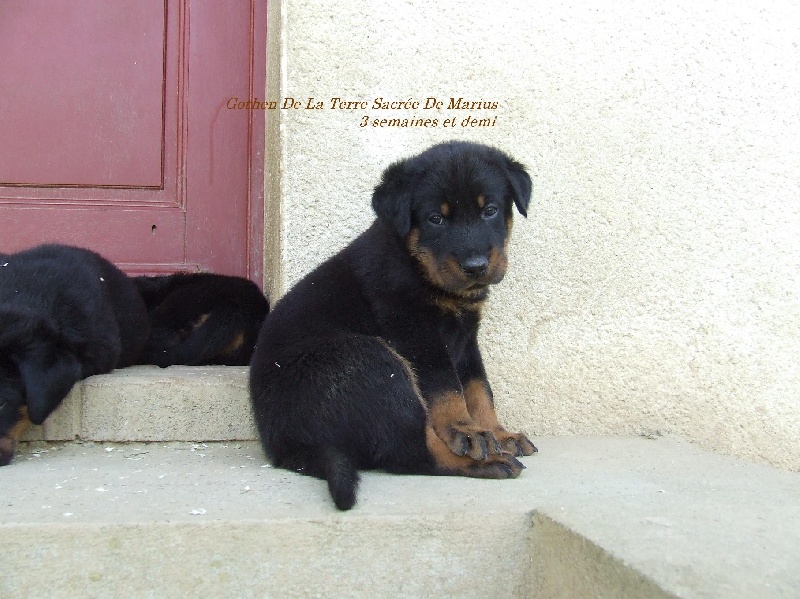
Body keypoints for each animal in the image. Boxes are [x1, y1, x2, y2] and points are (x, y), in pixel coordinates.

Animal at [250, 142, 536, 510]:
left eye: (490, 210)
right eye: (435, 218)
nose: (475, 266)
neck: (416, 263)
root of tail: (284, 447)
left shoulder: (466, 336)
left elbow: (478, 388)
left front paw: (497, 433)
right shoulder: (416, 331)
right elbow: (447, 388)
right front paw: (467, 431)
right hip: (371, 360)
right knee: (409, 453)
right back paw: (485, 463)